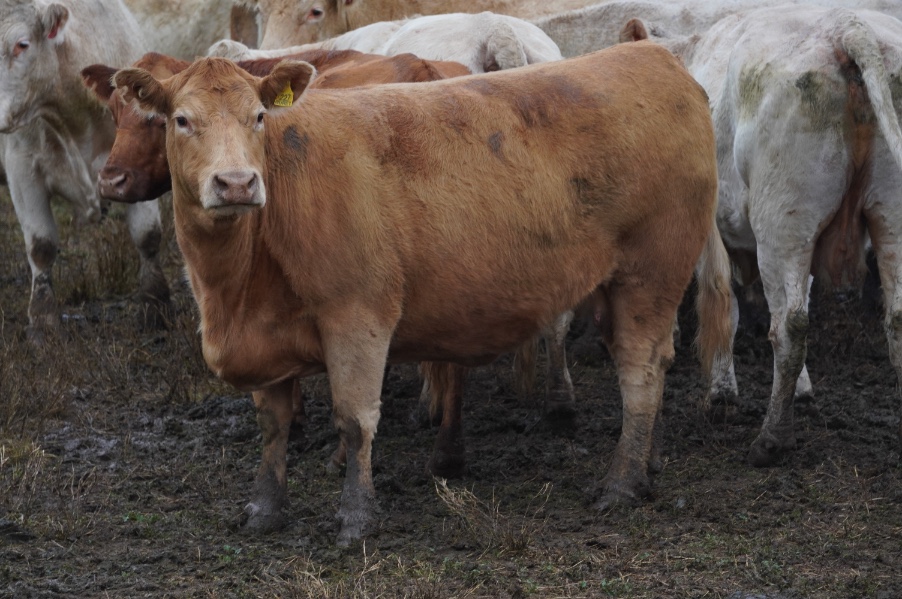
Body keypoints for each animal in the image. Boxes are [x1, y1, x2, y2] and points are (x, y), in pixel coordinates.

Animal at [0, 0, 169, 342]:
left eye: (21, 44)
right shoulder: (21, 166)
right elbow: (41, 245)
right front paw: (43, 319)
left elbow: (147, 235)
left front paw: (155, 306)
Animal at [111, 42, 732, 544]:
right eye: (181, 119)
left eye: (259, 117)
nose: (237, 183)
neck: (235, 289)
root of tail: (655, 56)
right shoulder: (266, 340)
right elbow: (273, 424)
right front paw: (264, 509)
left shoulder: (358, 316)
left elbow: (355, 419)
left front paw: (356, 518)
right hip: (612, 287)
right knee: (655, 362)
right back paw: (648, 464)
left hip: (650, 273)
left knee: (640, 371)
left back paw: (622, 483)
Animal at [624, 5, 902, 464]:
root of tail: (846, 27)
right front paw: (802, 391)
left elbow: (724, 305)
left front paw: (721, 393)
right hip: (885, 216)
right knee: (893, 315)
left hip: (782, 221)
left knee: (789, 327)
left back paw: (772, 438)